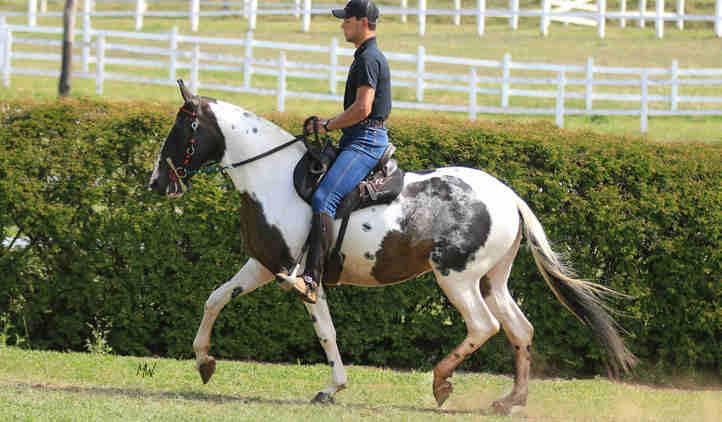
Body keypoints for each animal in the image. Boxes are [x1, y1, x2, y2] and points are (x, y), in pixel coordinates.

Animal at [148, 81, 636, 414]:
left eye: (181, 129)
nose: (156, 182)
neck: (273, 178)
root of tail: (508, 197)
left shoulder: (300, 275)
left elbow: (326, 332)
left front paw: (332, 387)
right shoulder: (265, 265)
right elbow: (215, 299)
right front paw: (204, 361)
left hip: (457, 278)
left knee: (484, 326)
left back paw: (441, 382)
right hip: (493, 280)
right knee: (520, 329)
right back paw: (511, 399)